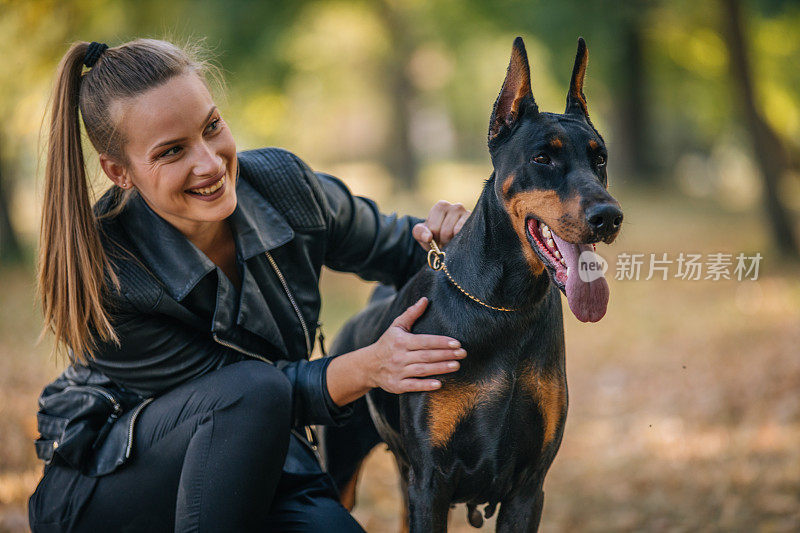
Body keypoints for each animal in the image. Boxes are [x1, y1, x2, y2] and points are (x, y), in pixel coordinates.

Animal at [322, 35, 620, 528]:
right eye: (542, 157)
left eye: (600, 158)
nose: (609, 217)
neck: (505, 307)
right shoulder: (430, 483)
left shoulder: (528, 487)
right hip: (347, 467)